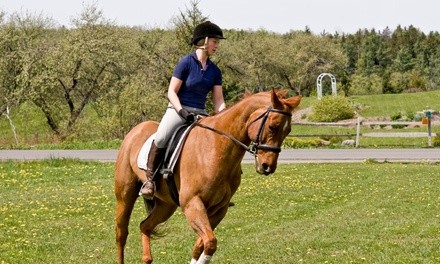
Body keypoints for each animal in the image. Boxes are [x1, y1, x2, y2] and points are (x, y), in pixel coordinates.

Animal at [113, 89, 300, 264]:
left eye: (288, 130)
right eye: (272, 126)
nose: (268, 166)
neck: (216, 148)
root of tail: (136, 130)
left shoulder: (219, 209)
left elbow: (201, 244)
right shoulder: (193, 204)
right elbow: (210, 242)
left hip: (166, 205)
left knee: (145, 226)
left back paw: (147, 258)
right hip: (125, 197)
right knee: (121, 234)